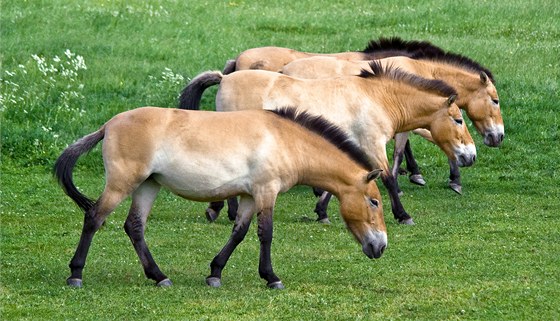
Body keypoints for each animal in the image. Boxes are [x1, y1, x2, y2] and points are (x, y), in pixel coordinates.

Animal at [54, 107, 388, 288]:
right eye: (374, 201)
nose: (381, 246)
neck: (286, 140)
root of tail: (109, 125)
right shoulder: (266, 191)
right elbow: (266, 233)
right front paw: (271, 278)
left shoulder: (250, 196)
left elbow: (239, 232)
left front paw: (215, 273)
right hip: (122, 183)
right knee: (94, 218)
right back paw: (76, 274)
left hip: (147, 186)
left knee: (134, 227)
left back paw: (159, 276)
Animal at [180, 61, 476, 224]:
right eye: (458, 120)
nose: (471, 155)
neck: (378, 98)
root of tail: (225, 77)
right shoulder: (372, 144)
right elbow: (389, 179)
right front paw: (403, 215)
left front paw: (321, 211)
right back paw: (219, 211)